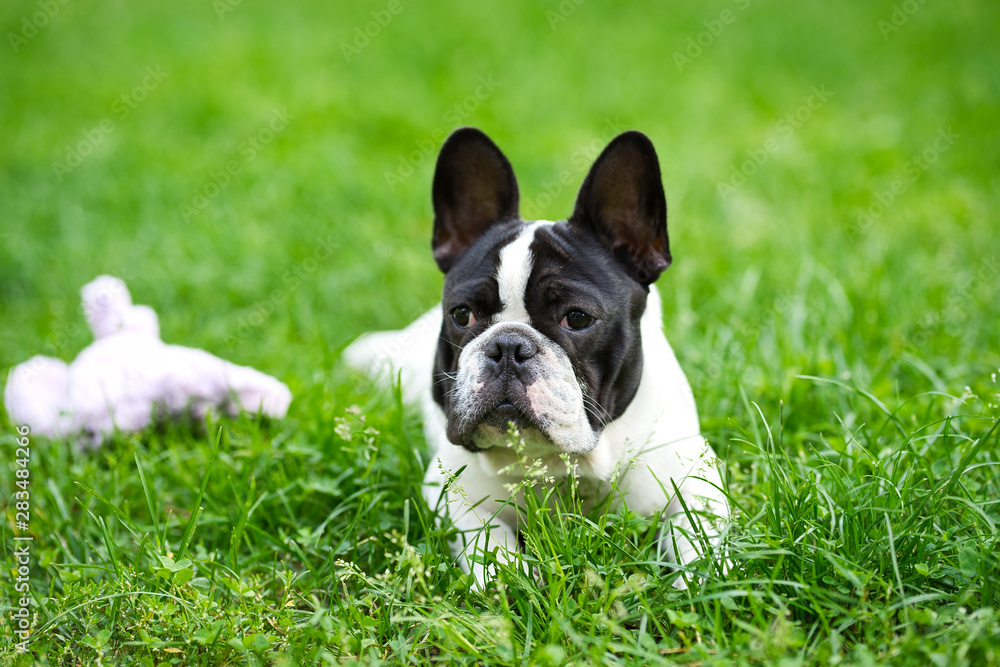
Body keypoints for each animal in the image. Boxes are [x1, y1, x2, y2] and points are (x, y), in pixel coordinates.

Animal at [344, 128, 728, 588]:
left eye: (577, 318)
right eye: (461, 314)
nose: (508, 346)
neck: (555, 461)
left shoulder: (698, 484)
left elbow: (699, 543)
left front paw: (698, 585)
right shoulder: (451, 492)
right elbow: (487, 538)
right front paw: (509, 579)